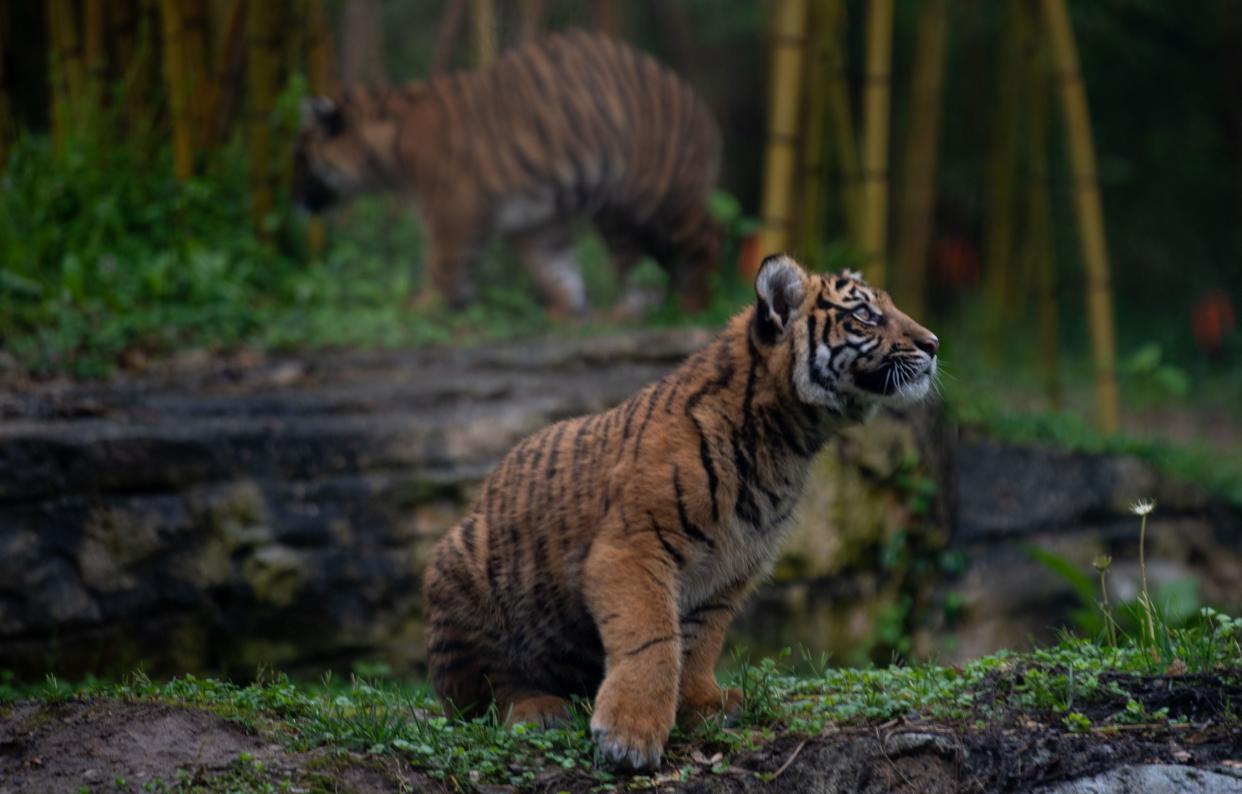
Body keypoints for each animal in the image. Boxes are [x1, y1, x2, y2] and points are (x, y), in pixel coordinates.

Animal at [291, 28, 725, 320]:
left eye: (299, 158)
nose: (293, 200)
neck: (390, 154)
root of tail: (697, 103)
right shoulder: (535, 222)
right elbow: (556, 269)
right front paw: (566, 310)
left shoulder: (453, 205)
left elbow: (444, 261)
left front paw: (423, 304)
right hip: (616, 216)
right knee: (637, 265)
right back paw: (623, 314)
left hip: (662, 192)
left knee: (708, 236)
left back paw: (694, 307)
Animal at [422, 254, 933, 770]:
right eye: (866, 314)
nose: (932, 344)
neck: (789, 442)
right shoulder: (633, 547)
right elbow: (653, 638)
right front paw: (630, 735)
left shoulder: (730, 569)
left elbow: (700, 641)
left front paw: (702, 704)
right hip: (463, 568)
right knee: (484, 692)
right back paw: (539, 709)